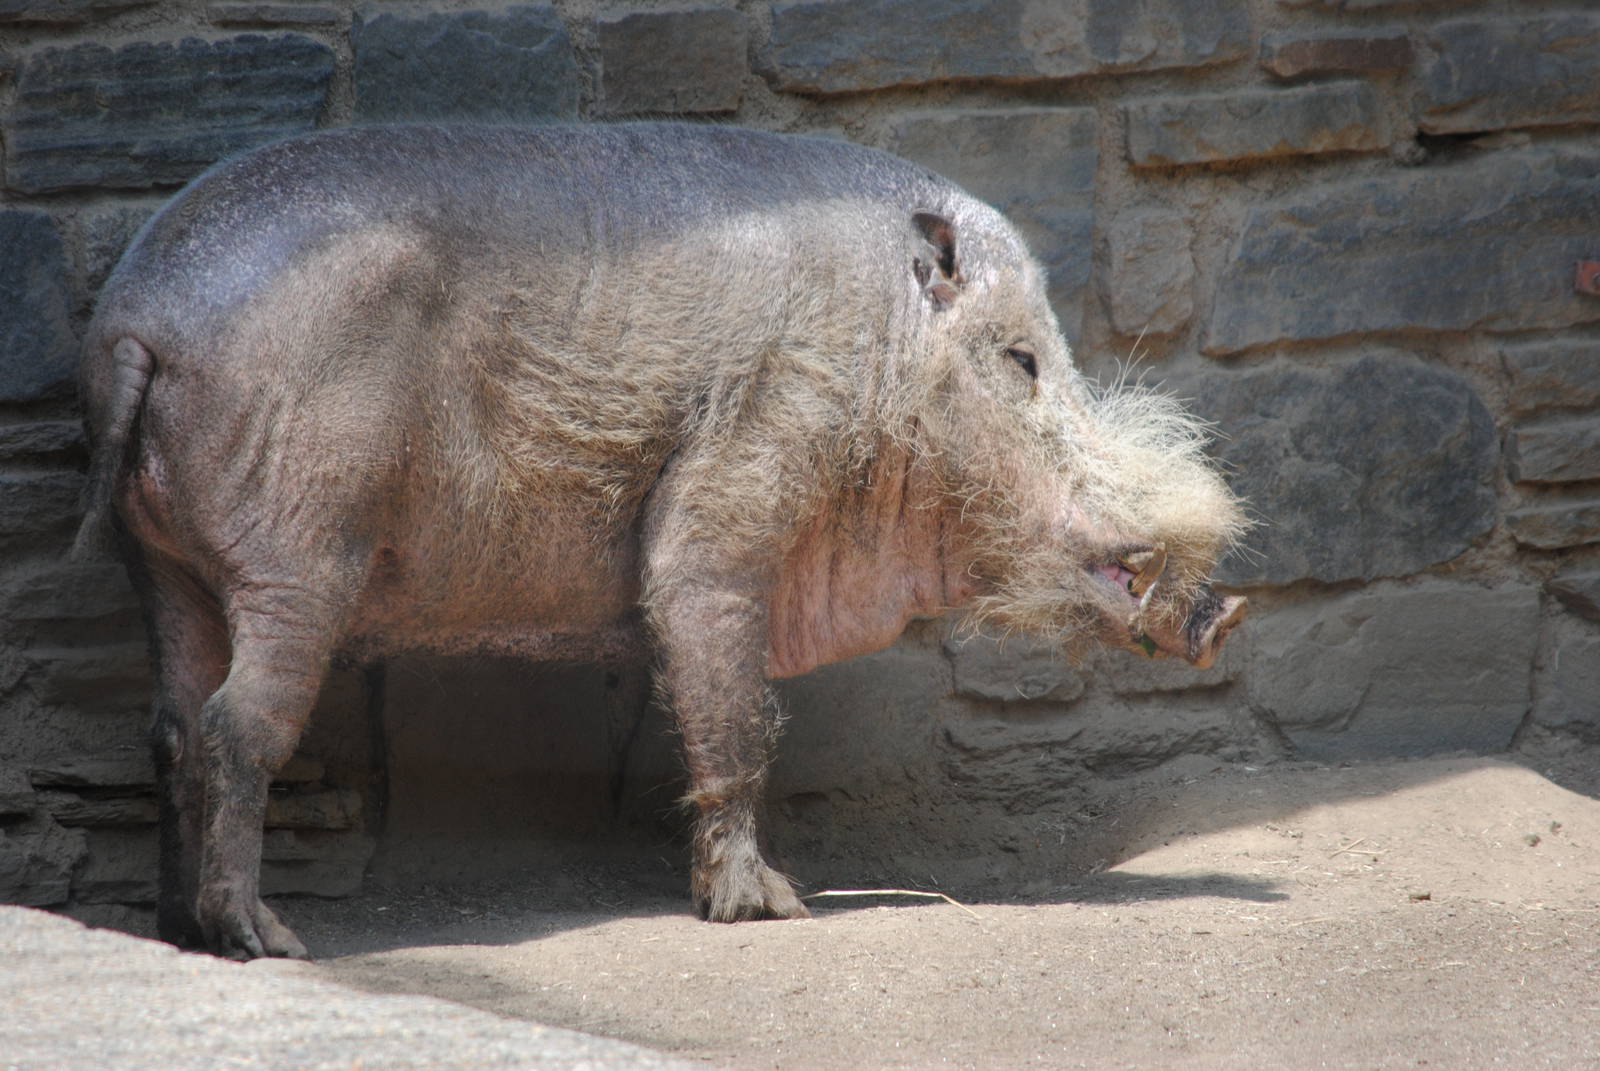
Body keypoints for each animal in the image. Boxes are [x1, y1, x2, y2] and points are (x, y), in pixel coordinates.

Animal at [74, 123, 1247, 960]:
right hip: (300, 548)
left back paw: (180, 932)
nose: (1229, 607)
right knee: (234, 726)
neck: (883, 360)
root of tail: (138, 318)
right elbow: (738, 710)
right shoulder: (742, 471)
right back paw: (265, 940)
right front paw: (774, 911)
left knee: (169, 727)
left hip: (158, 561)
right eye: (1020, 359)